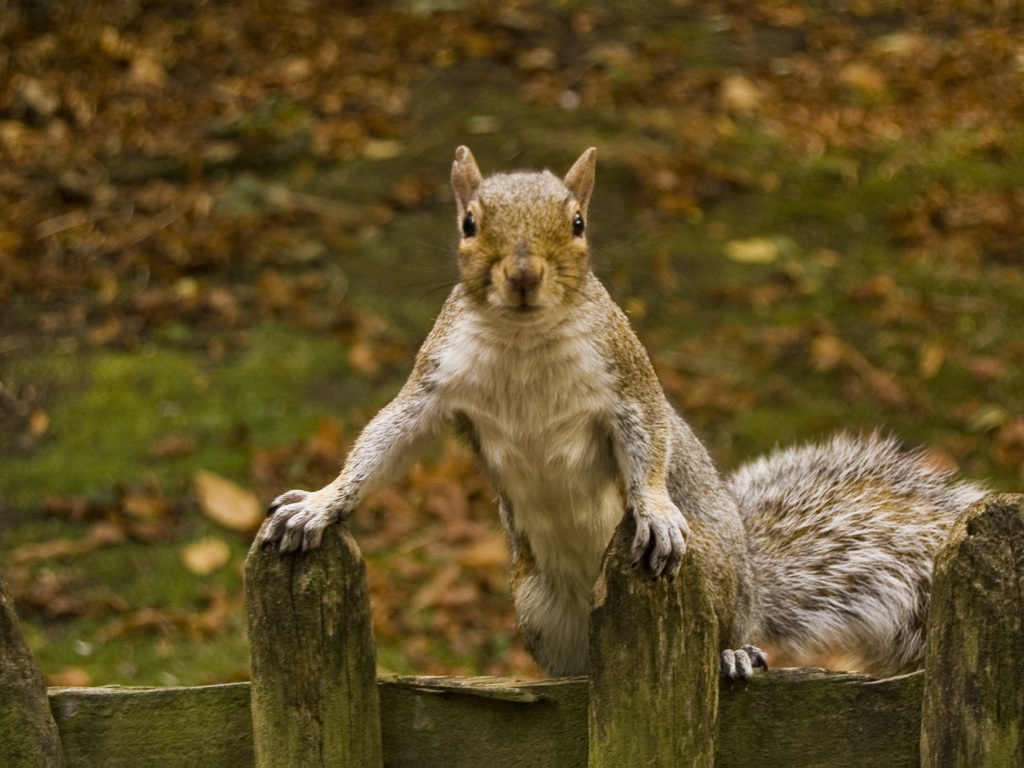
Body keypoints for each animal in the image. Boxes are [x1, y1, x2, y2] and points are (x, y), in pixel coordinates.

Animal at [260, 147, 988, 681]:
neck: (523, 337)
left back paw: (733, 649)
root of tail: (754, 582)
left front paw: (656, 509)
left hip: (715, 573)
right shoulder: (435, 383)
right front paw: (320, 504)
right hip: (537, 604)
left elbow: (649, 443)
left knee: (730, 627)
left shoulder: (628, 379)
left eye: (577, 223)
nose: (522, 275)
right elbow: (386, 442)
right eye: (469, 222)